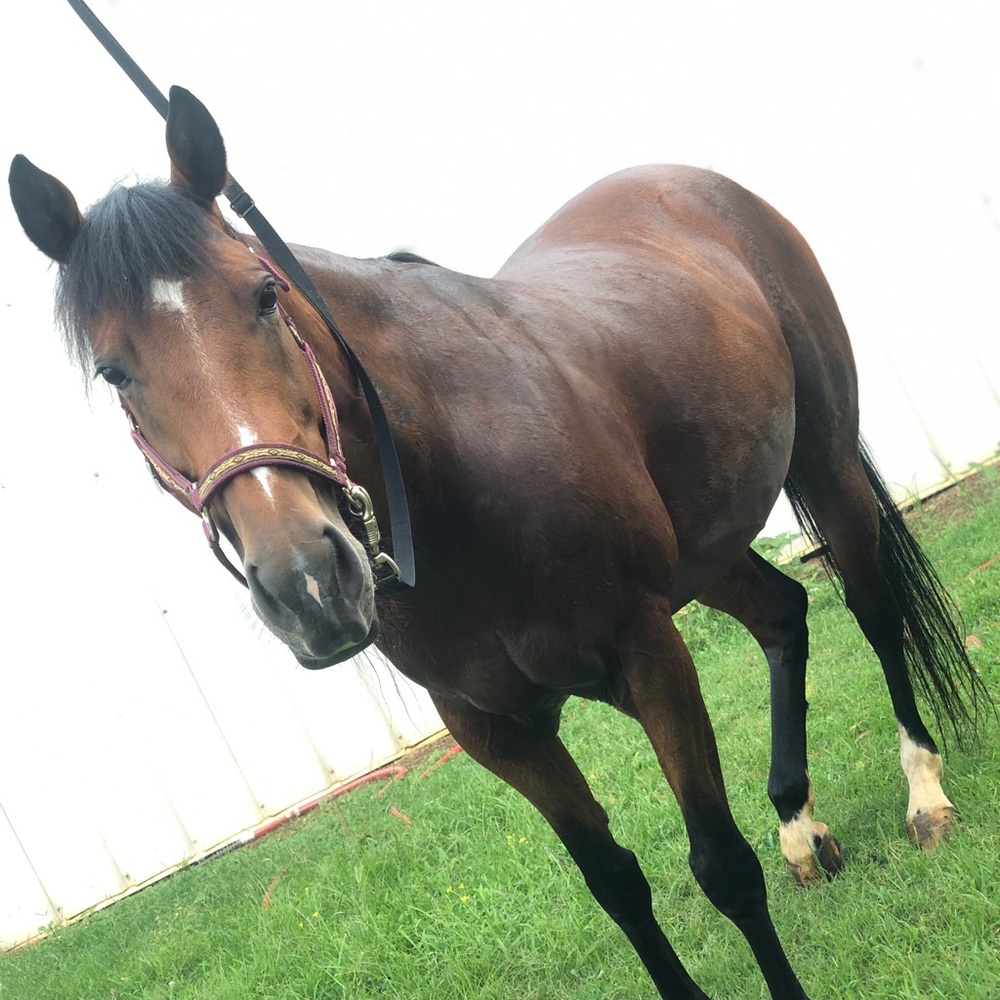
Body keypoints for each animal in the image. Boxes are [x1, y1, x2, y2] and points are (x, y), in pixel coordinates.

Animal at [10, 86, 986, 1000]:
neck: (454, 464)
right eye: (114, 370)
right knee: (783, 614)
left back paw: (924, 793)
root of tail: (698, 187)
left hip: (825, 466)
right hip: (703, 553)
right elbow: (617, 885)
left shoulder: (650, 655)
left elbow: (721, 867)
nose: (311, 585)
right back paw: (800, 824)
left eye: (263, 295)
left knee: (873, 609)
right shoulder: (492, 729)